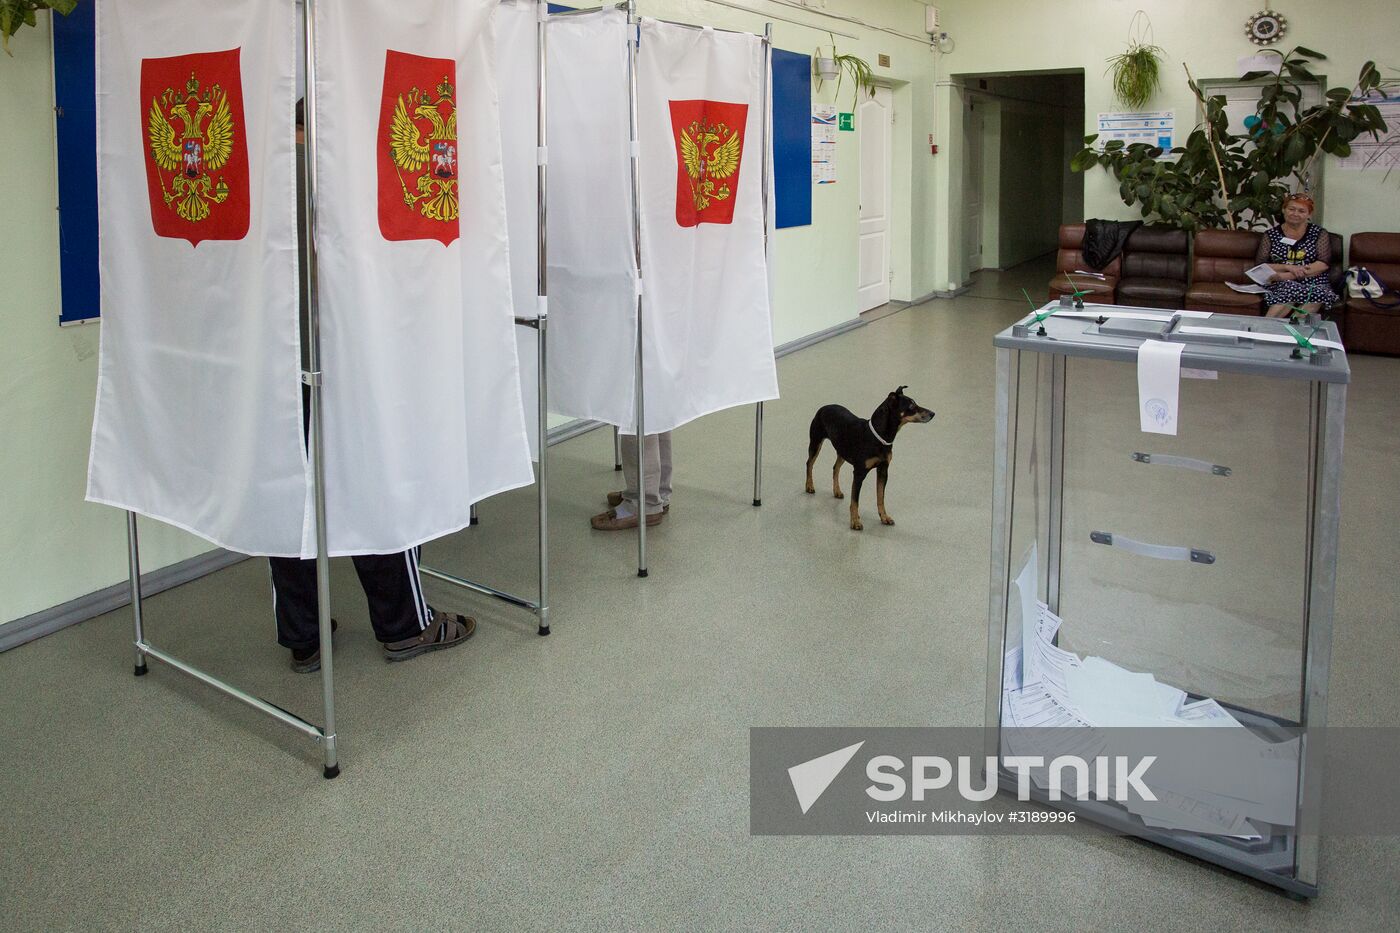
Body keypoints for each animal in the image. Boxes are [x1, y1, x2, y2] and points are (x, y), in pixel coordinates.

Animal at [806, 383, 935, 526]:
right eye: (911, 406)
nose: (933, 413)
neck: (879, 437)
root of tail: (824, 407)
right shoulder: (859, 473)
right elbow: (855, 501)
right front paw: (855, 522)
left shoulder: (883, 470)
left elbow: (880, 497)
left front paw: (884, 517)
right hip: (816, 443)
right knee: (809, 463)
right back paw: (809, 486)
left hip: (843, 451)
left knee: (836, 467)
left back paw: (837, 491)